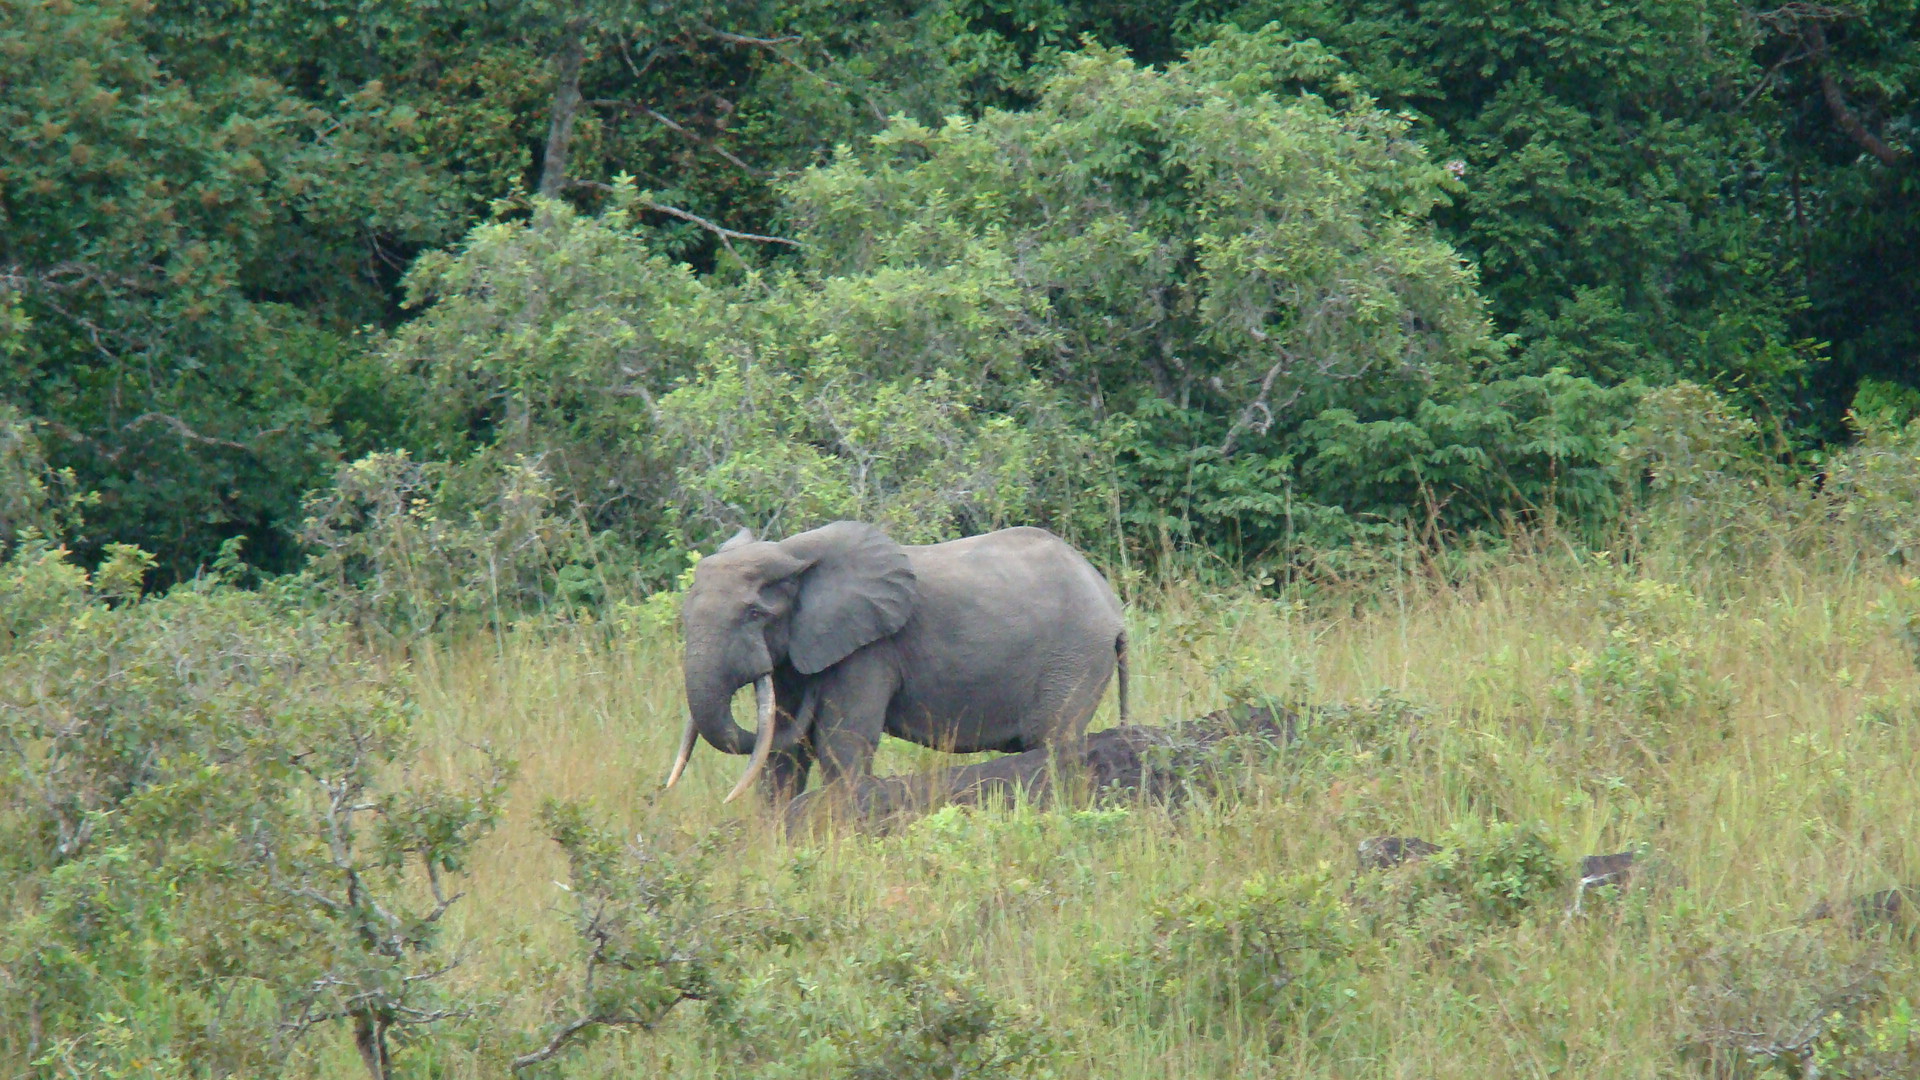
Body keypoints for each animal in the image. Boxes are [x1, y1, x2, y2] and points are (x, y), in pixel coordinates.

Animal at [672, 518, 1128, 803]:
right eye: (684, 614)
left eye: (754, 614)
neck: (790, 553)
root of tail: (1114, 608)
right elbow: (782, 754)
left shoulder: (869, 649)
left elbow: (841, 741)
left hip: (1076, 656)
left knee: (1051, 743)